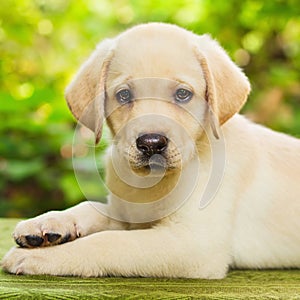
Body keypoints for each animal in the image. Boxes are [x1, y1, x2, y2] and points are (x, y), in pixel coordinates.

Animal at [2, 23, 300, 278]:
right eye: (123, 95)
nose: (151, 143)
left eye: (183, 94)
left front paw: (42, 257)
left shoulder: (194, 243)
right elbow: (91, 207)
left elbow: (108, 243)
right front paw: (47, 223)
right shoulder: (128, 215)